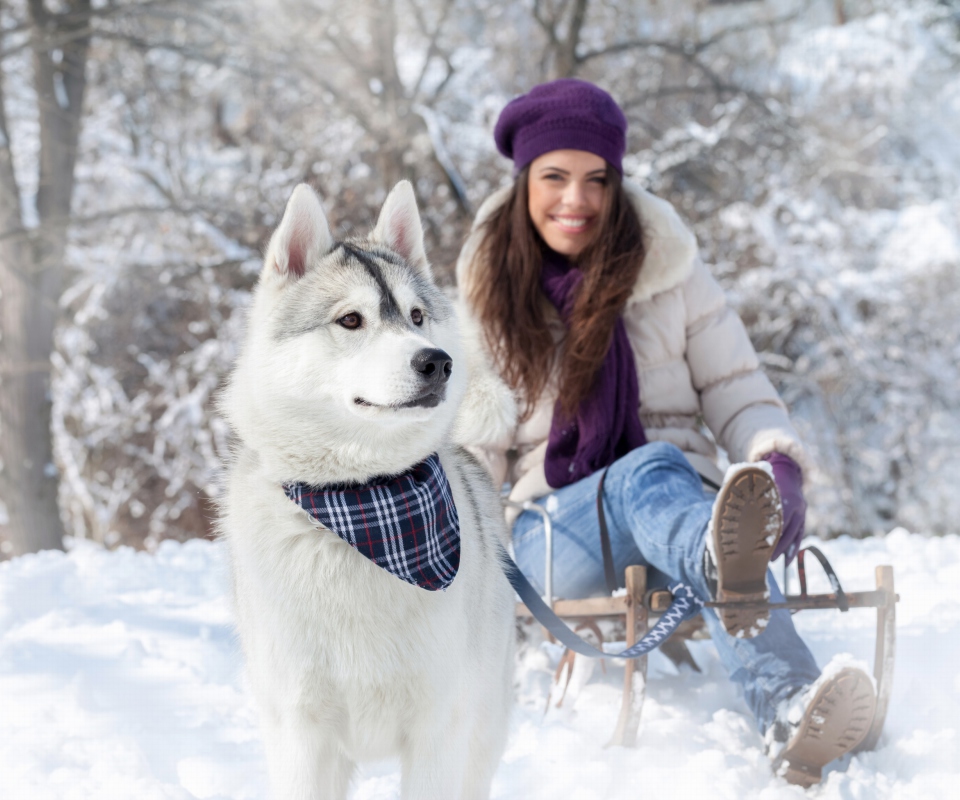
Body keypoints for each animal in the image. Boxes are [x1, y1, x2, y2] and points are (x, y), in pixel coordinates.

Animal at [219, 183, 516, 800]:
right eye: (351, 320)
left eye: (417, 316)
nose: (437, 362)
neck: (362, 502)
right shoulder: (301, 734)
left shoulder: (437, 731)